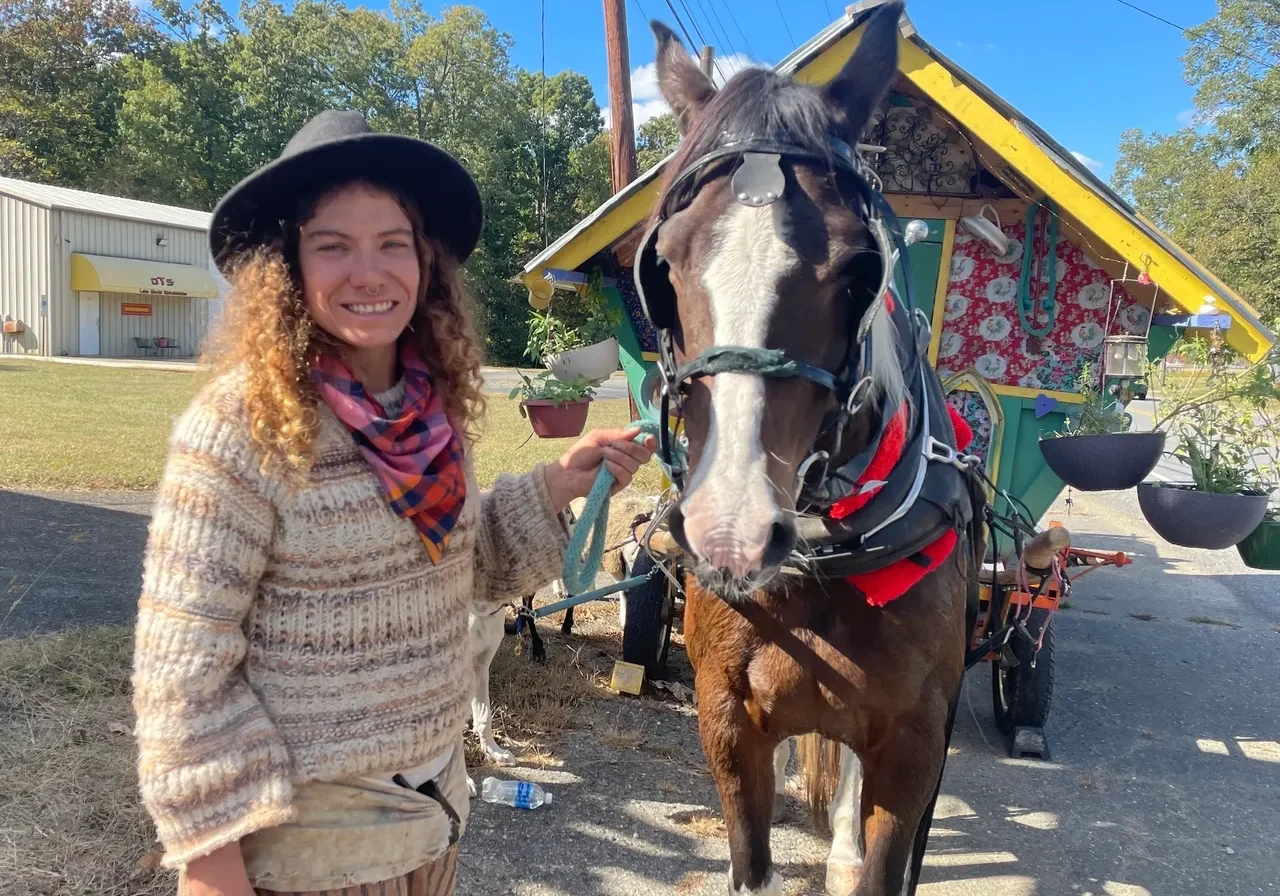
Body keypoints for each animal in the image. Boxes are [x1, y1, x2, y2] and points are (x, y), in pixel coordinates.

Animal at [634, 3, 983, 890]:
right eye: (663, 265)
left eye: (862, 268)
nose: (731, 531)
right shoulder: (727, 725)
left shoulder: (914, 747)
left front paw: (850, 855)